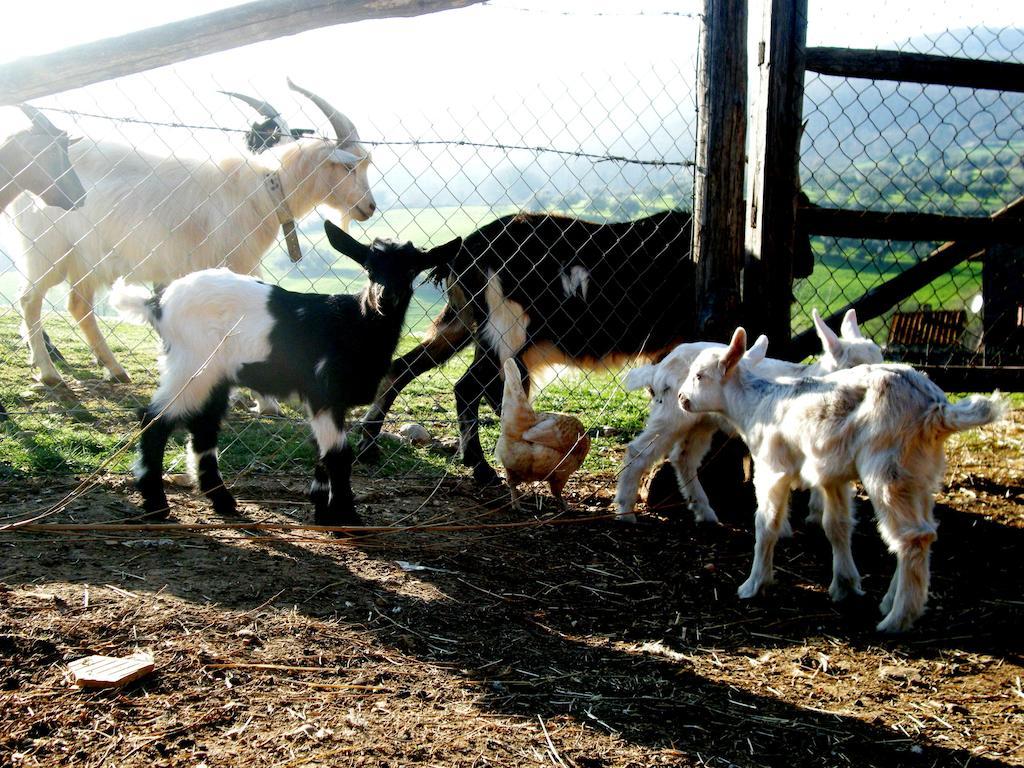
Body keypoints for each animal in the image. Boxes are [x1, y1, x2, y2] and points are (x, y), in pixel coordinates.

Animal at [14, 78, 376, 393]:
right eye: (349, 167)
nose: (370, 207)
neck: (264, 187)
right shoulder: (233, 264)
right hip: (47, 251)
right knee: (31, 300)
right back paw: (50, 374)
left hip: (84, 260)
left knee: (79, 306)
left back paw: (115, 370)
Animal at [111, 222, 460, 524]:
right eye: (370, 268)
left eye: (411, 270)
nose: (384, 299)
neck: (356, 324)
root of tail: (157, 303)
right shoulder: (324, 394)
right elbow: (339, 454)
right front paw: (346, 516)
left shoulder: (330, 402)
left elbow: (322, 452)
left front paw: (322, 509)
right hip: (191, 366)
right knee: (154, 419)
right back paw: (156, 504)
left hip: (214, 376)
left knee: (203, 429)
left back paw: (222, 501)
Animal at [356, 210, 700, 483]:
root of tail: (466, 249)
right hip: (507, 327)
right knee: (470, 387)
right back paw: (482, 468)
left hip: (461, 322)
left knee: (404, 367)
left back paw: (368, 445)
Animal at [675, 327, 1003, 634]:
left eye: (700, 376)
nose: (681, 398)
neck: (755, 405)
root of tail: (937, 408)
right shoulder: (831, 475)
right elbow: (837, 526)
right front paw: (845, 585)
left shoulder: (772, 468)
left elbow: (765, 525)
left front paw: (754, 585)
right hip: (920, 471)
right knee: (924, 529)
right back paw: (891, 601)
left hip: (886, 466)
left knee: (913, 536)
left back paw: (897, 619)